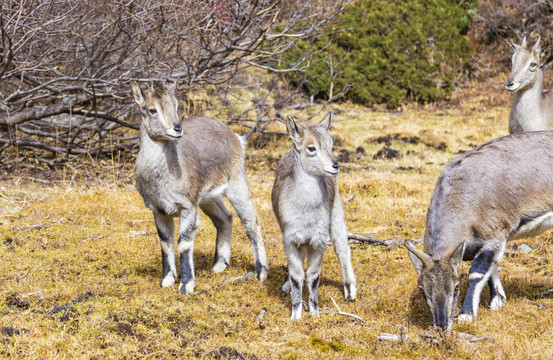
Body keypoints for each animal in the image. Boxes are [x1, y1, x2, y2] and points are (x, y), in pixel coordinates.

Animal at [129, 80, 268, 294]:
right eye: (152, 110)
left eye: (176, 106)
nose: (177, 128)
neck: (163, 179)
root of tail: (236, 137)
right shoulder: (158, 210)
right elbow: (165, 243)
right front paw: (167, 280)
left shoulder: (188, 206)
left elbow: (183, 243)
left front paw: (186, 285)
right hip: (208, 198)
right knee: (225, 217)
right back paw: (219, 265)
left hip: (236, 182)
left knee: (251, 221)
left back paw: (261, 272)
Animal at [272, 114, 358, 320]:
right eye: (311, 147)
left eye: (331, 143)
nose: (335, 166)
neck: (306, 214)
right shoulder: (290, 238)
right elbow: (297, 275)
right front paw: (296, 314)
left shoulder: (319, 240)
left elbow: (313, 275)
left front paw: (315, 312)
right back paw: (285, 286)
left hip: (336, 212)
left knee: (342, 248)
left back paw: (350, 291)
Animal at [404, 130, 552, 332]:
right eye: (422, 289)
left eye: (456, 286)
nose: (442, 324)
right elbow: (492, 267)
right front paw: (498, 300)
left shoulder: (495, 234)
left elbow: (477, 272)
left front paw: (466, 314)